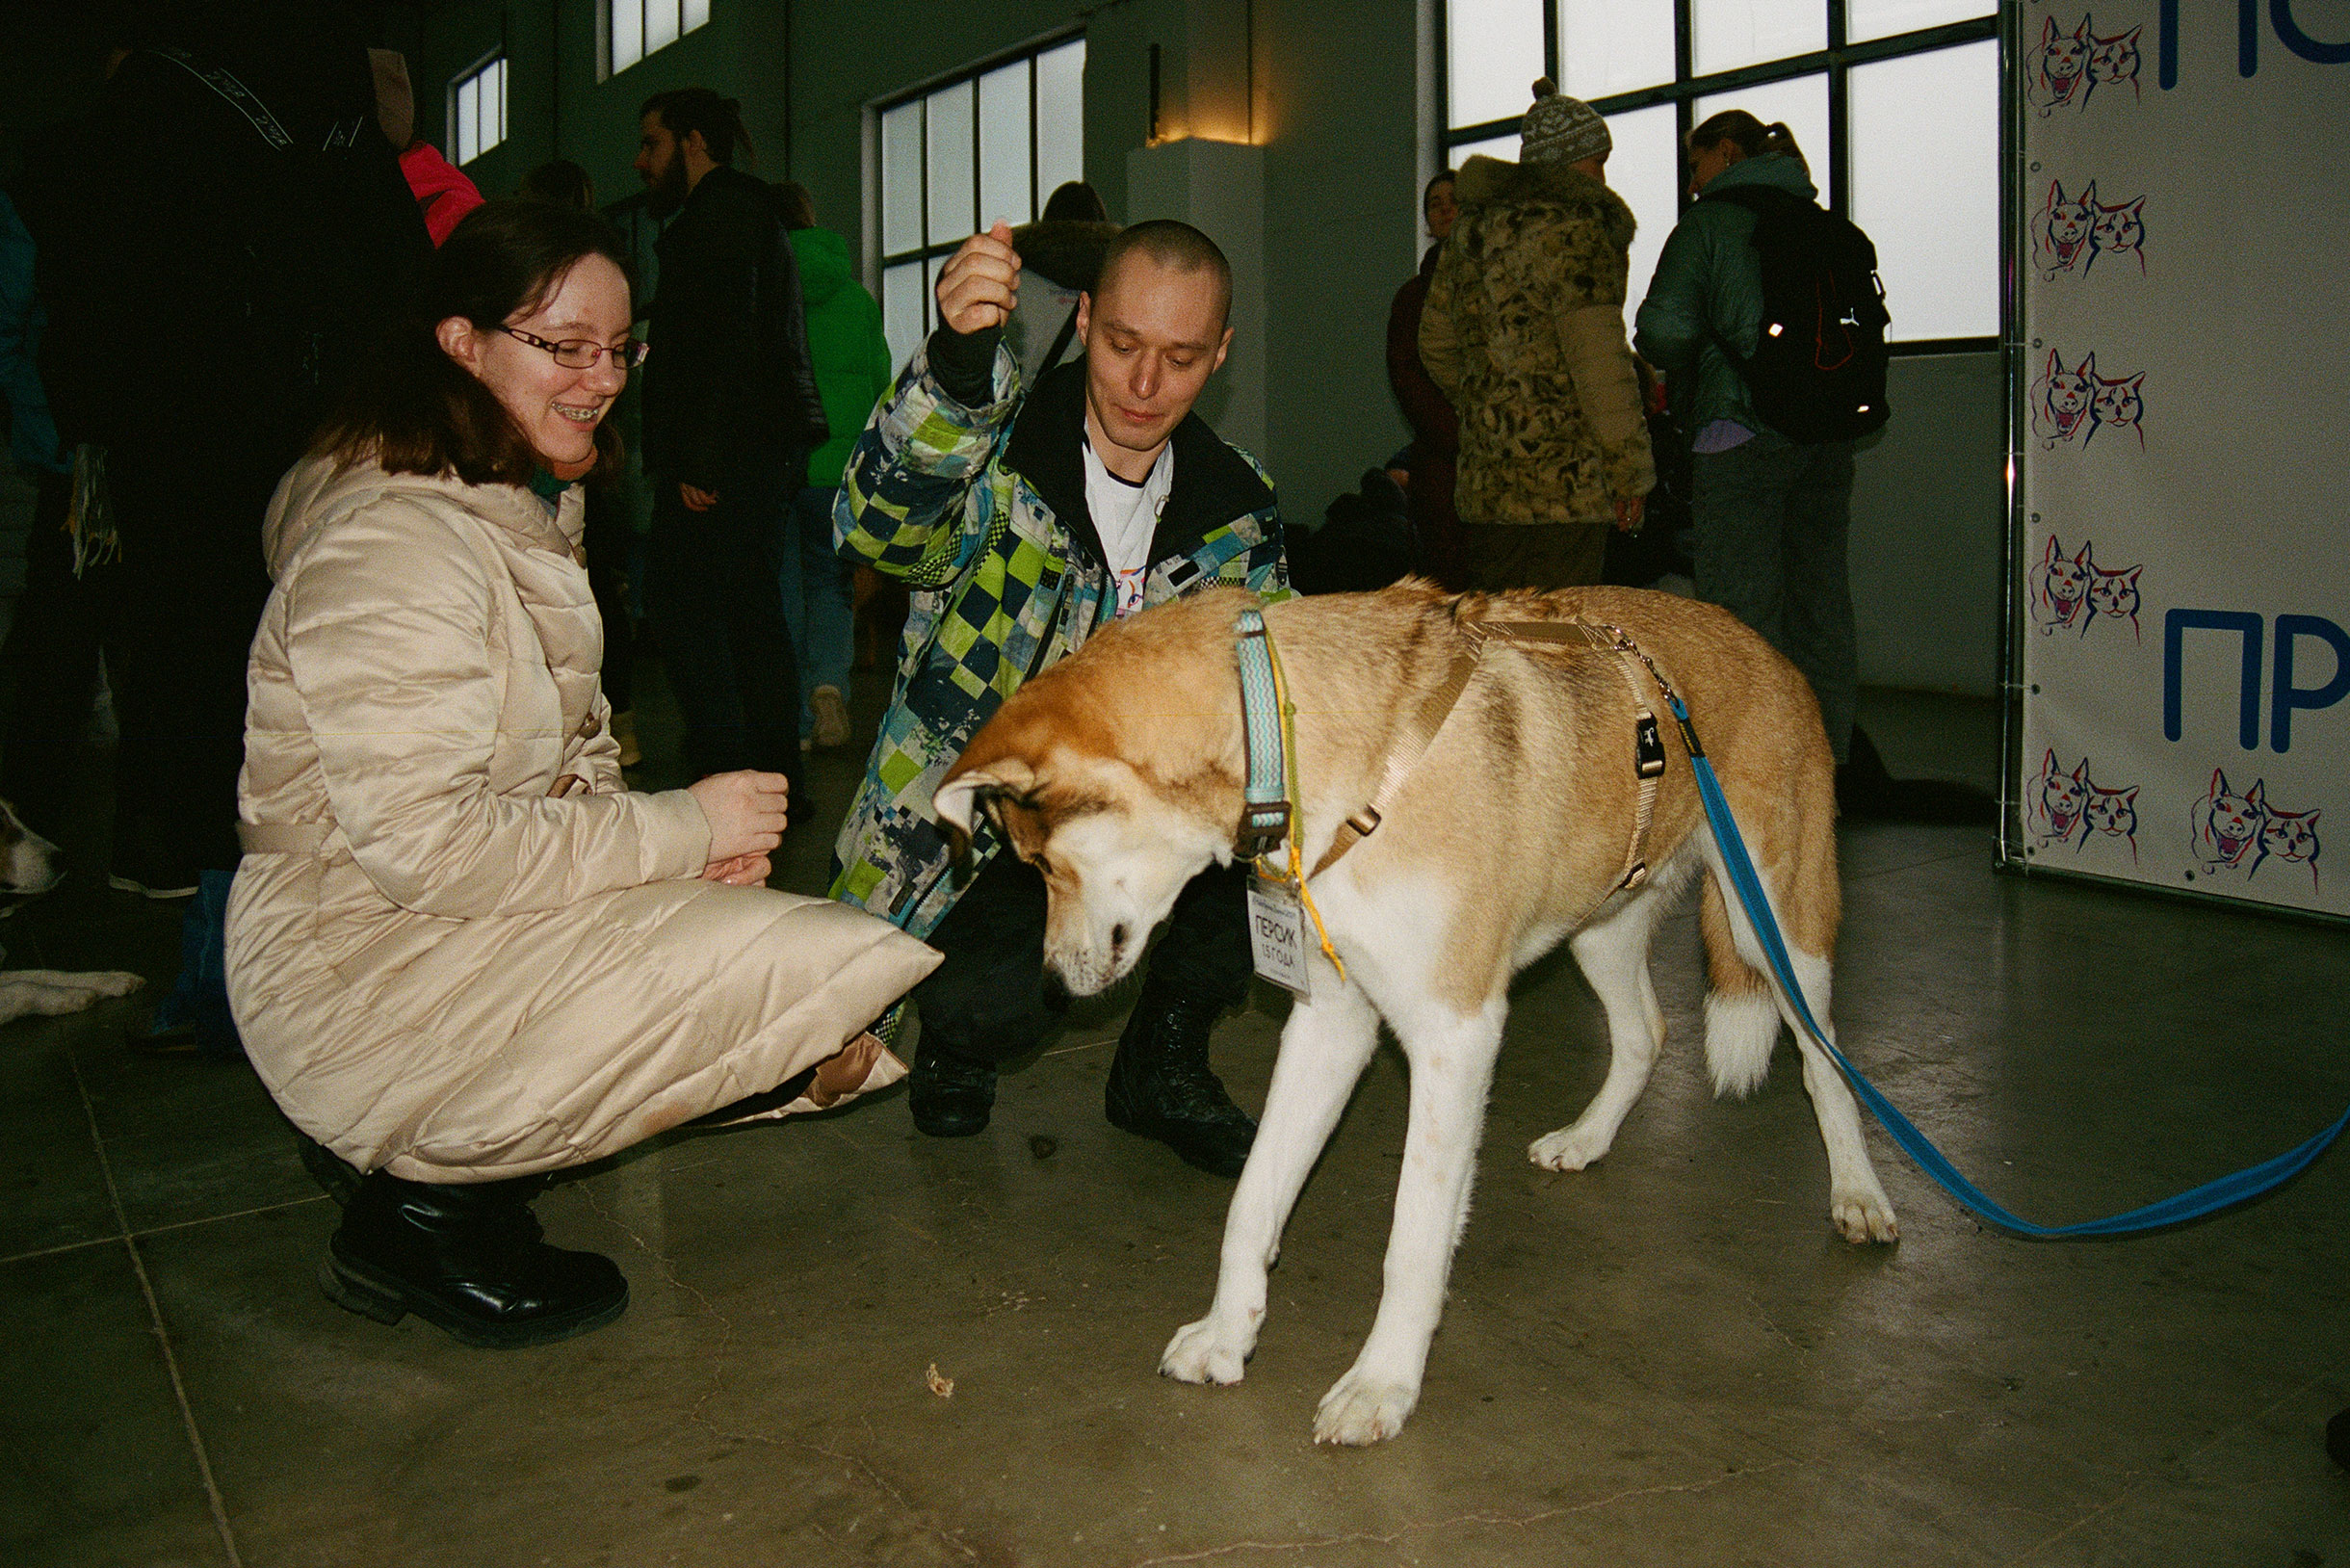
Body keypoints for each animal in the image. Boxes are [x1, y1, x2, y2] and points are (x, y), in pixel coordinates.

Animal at [926, 580, 1898, 1448]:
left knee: (1826, 1065)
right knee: (1647, 1035)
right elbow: (1255, 1199)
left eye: (1040, 863)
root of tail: (1762, 644)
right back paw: (1588, 1139)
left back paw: (1859, 1196)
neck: (1292, 735)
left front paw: (1382, 1384)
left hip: (1779, 928)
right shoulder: (1332, 1021)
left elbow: (1413, 1234)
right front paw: (1229, 1334)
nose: (1052, 985)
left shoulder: (1453, 1033)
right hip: (1602, 922)